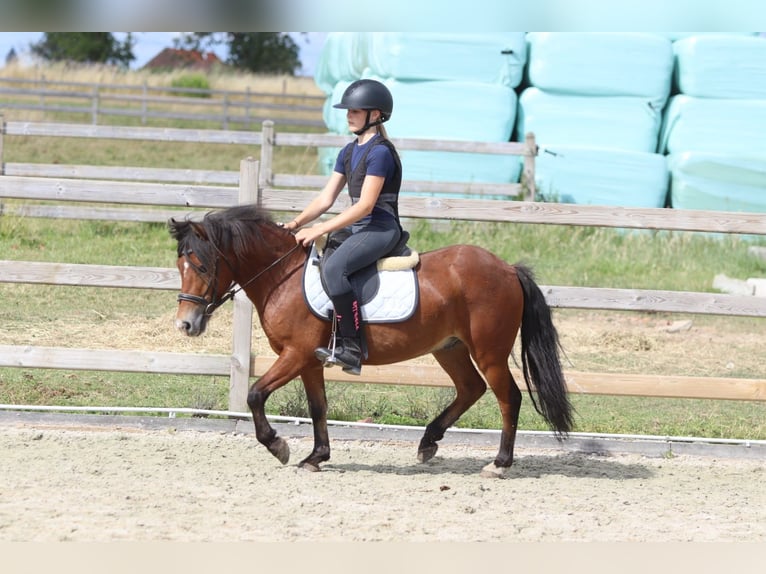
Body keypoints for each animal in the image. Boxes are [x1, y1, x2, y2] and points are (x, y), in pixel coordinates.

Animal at [169, 204, 573, 478]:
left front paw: (278, 445)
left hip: (489, 351)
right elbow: (318, 407)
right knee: (470, 388)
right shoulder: (310, 361)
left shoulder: (295, 354)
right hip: (450, 348)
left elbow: (255, 394)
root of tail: (506, 268)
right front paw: (316, 457)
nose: (185, 324)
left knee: (509, 398)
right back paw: (428, 442)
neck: (282, 275)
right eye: (180, 266)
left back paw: (499, 463)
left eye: (202, 266)